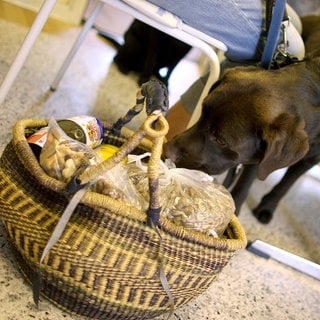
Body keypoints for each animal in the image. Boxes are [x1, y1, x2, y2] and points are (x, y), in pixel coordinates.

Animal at [165, 16, 320, 224]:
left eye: (220, 140)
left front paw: (265, 207)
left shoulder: (308, 158)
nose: (167, 150)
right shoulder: (261, 157)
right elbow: (248, 178)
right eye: (203, 112)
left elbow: (284, 185)